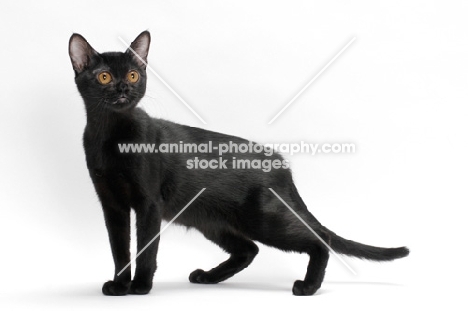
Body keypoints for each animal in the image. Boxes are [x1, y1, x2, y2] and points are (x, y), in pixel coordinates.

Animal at [67, 31, 408, 298]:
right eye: (104, 76)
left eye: (133, 75)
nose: (123, 89)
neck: (110, 134)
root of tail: (282, 165)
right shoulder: (112, 205)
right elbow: (119, 248)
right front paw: (119, 285)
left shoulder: (148, 204)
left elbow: (145, 249)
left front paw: (139, 286)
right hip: (211, 220)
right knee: (248, 250)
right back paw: (208, 276)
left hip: (262, 219)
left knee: (318, 240)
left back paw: (308, 287)